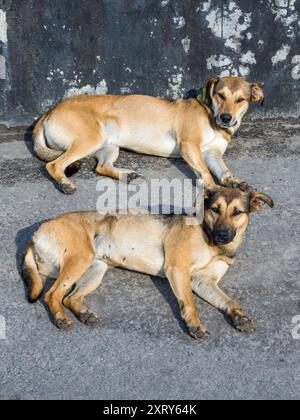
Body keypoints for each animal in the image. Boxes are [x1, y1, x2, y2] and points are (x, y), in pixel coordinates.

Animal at [22, 187, 274, 342]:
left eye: (237, 212)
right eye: (215, 209)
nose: (223, 235)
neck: (210, 241)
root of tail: (36, 233)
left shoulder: (203, 282)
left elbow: (228, 300)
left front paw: (238, 315)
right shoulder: (178, 269)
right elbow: (189, 303)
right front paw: (195, 325)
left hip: (94, 269)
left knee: (70, 297)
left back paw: (85, 314)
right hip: (79, 259)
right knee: (52, 295)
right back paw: (60, 318)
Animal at [32, 76, 262, 194]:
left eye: (240, 100)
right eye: (220, 95)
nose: (226, 118)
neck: (210, 115)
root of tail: (49, 112)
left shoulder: (212, 154)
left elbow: (224, 171)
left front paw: (234, 181)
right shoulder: (190, 146)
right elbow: (205, 172)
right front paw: (213, 189)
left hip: (109, 146)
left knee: (101, 167)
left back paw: (126, 175)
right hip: (91, 138)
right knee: (54, 165)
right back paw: (65, 183)